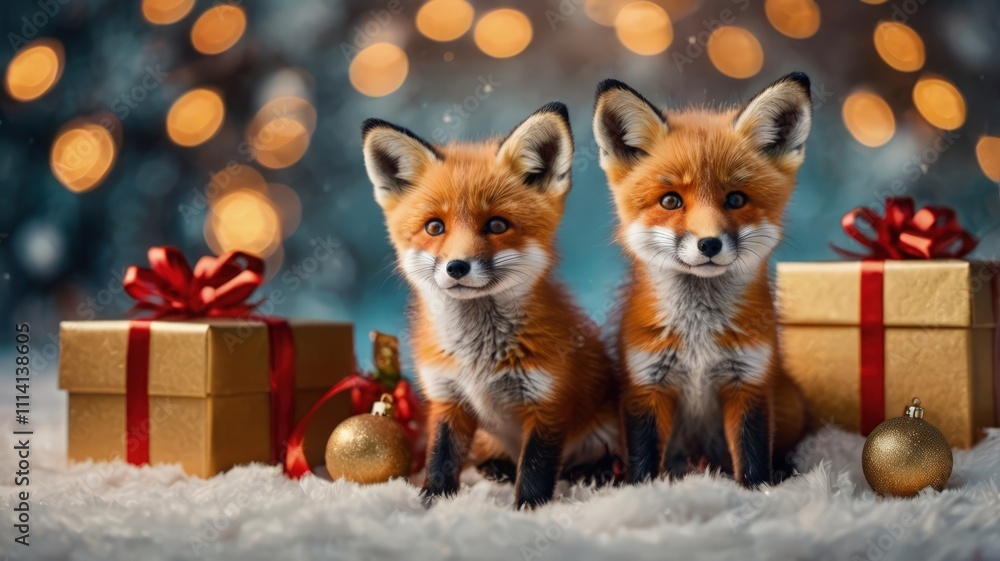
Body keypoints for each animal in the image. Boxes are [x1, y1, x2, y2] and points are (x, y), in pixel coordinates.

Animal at [362, 102, 621, 508]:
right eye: (434, 227)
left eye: (497, 225)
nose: (457, 267)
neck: (478, 360)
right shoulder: (447, 398)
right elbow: (440, 457)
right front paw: (432, 501)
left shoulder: (548, 403)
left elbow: (536, 468)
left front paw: (528, 508)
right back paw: (497, 468)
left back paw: (592, 472)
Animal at [591, 73, 811, 487]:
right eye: (671, 201)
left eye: (736, 199)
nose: (709, 244)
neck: (698, 340)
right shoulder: (647, 384)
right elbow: (645, 460)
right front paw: (639, 490)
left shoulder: (749, 382)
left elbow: (753, 454)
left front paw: (759, 490)